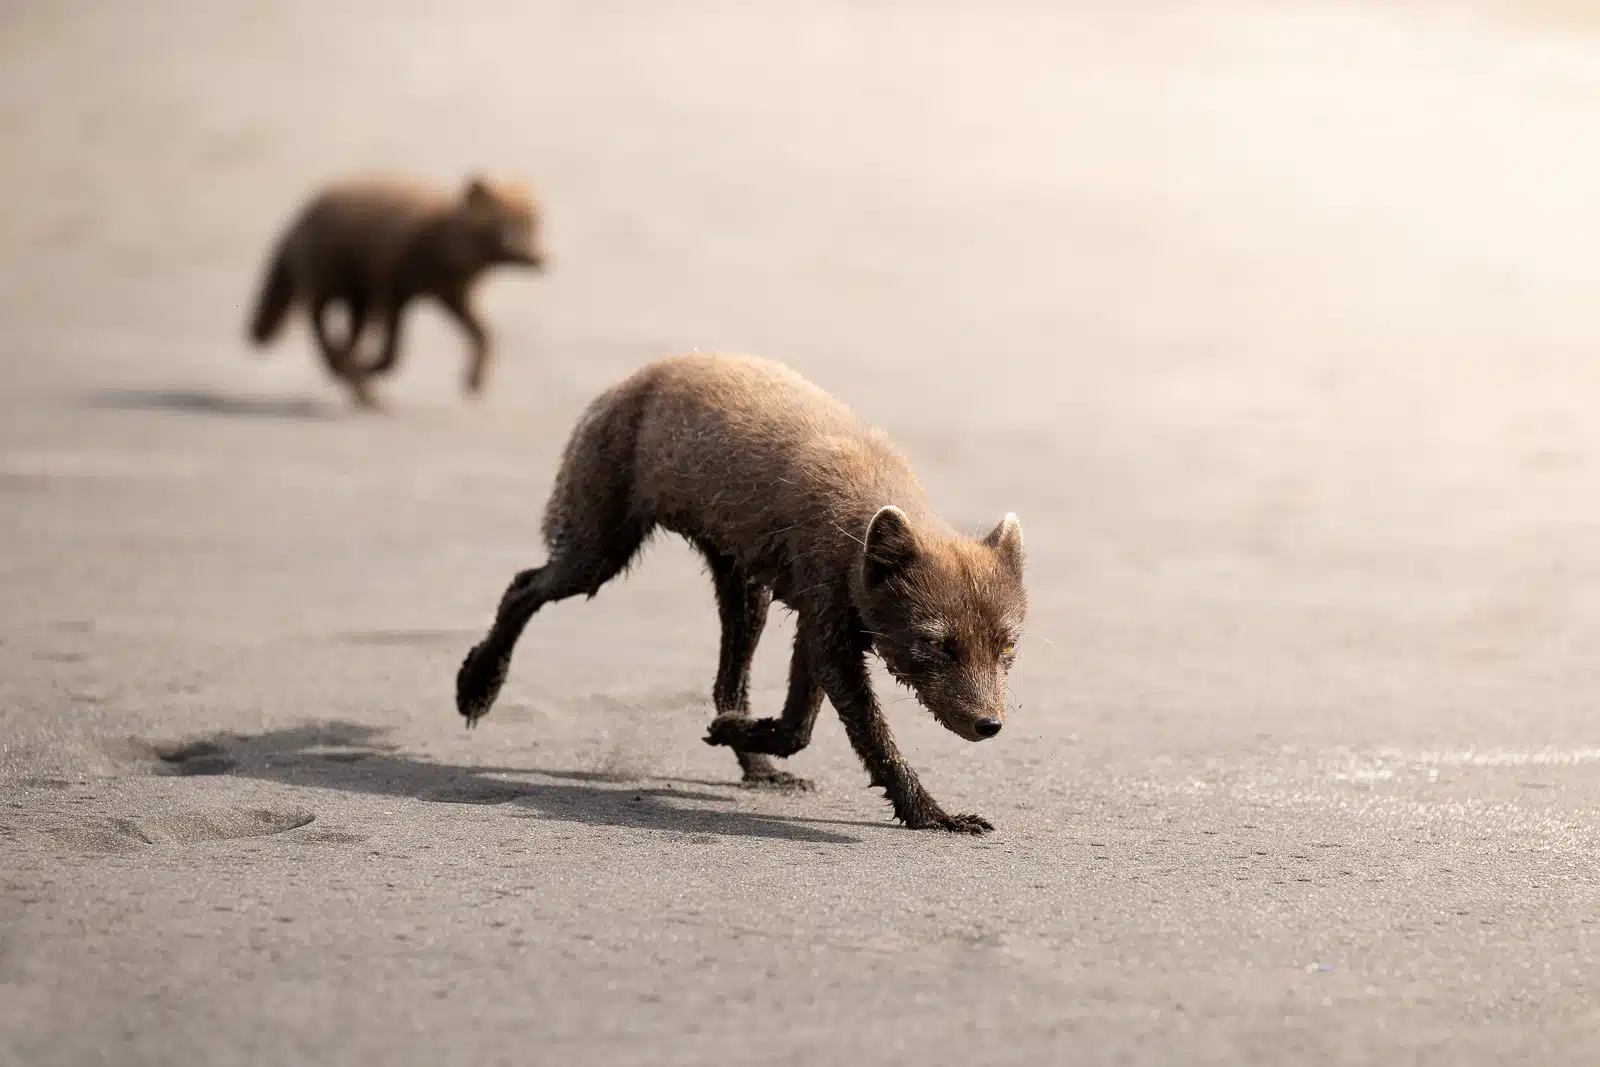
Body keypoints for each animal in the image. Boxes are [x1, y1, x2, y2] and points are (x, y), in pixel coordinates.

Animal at [247, 174, 546, 408]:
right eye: (510, 227)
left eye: (536, 225)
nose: (543, 259)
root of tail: (296, 220)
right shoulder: (393, 291)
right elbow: (392, 355)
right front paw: (369, 369)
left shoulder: (451, 296)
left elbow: (484, 335)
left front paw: (474, 381)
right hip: (332, 284)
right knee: (317, 323)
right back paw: (349, 376)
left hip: (357, 299)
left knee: (342, 338)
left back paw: (350, 377)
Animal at [455, 352, 1028, 833]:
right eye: (935, 645)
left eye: (1007, 647)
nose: (989, 724)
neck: (861, 521)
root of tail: (631, 378)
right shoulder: (827, 620)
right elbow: (856, 735)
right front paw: (933, 815)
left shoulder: (818, 623)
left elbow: (798, 723)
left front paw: (740, 733)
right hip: (598, 549)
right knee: (523, 587)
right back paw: (477, 684)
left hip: (741, 584)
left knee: (727, 683)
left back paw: (755, 762)